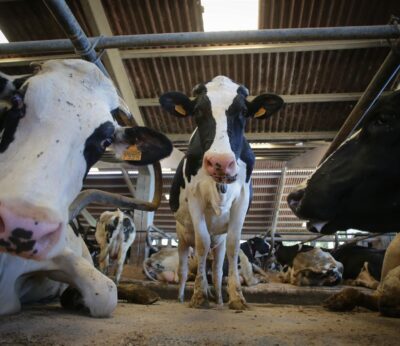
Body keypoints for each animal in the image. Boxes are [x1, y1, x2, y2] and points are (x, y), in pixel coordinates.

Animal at [0, 59, 172, 316]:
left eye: (106, 141)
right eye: (17, 101)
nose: (22, 225)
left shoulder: (62, 254)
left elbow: (106, 292)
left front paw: (76, 297)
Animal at [159, 75, 284, 308]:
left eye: (243, 111)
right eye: (198, 111)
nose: (221, 162)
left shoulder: (242, 199)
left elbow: (235, 245)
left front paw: (236, 297)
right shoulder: (195, 198)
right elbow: (202, 243)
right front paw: (199, 295)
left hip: (219, 242)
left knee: (216, 269)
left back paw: (218, 299)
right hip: (182, 237)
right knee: (183, 269)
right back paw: (181, 297)